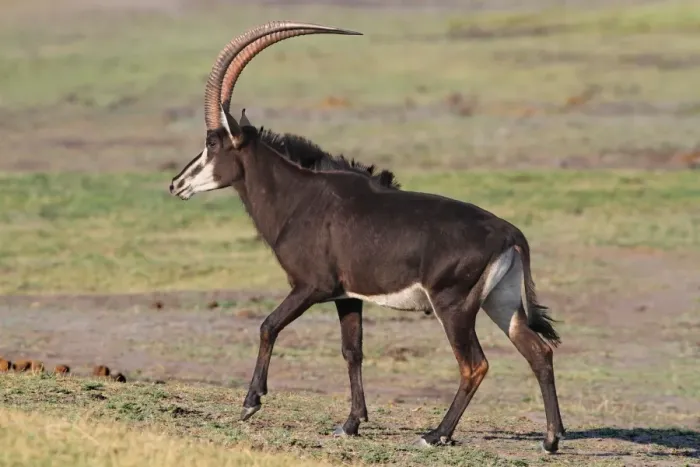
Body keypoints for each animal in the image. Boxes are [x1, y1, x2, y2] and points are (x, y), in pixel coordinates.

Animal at [169, 21, 565, 452]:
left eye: (212, 143)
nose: (176, 184)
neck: (299, 196)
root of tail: (510, 233)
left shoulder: (311, 286)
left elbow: (268, 325)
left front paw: (251, 402)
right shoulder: (347, 296)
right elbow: (352, 351)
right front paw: (350, 423)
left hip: (454, 306)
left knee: (474, 364)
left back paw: (436, 434)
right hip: (500, 302)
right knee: (539, 352)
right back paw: (550, 439)